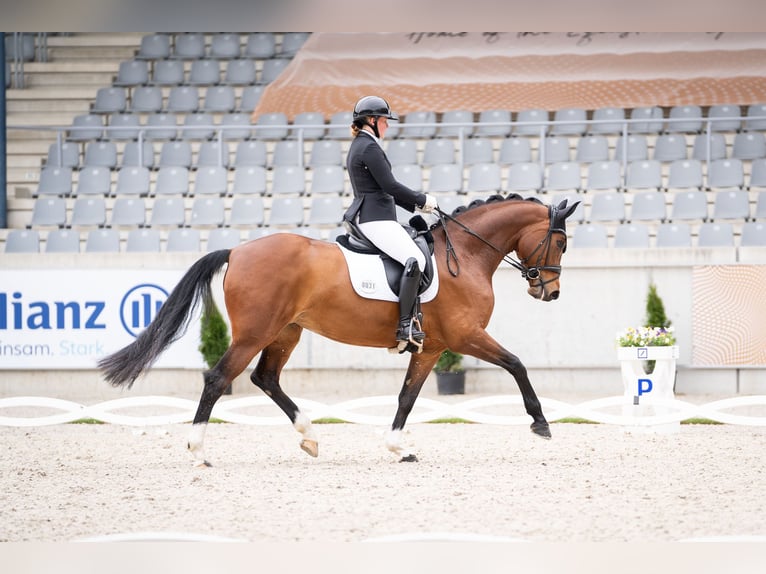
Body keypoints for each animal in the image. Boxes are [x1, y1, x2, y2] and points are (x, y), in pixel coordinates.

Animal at [99, 195, 580, 468]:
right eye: (560, 242)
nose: (551, 291)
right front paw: (540, 423)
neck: (465, 253)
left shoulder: (432, 348)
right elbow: (517, 364)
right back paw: (199, 452)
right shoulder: (465, 336)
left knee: (265, 378)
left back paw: (310, 437)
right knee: (218, 379)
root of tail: (236, 250)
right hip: (255, 333)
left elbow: (407, 396)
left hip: (285, 332)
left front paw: (398, 448)